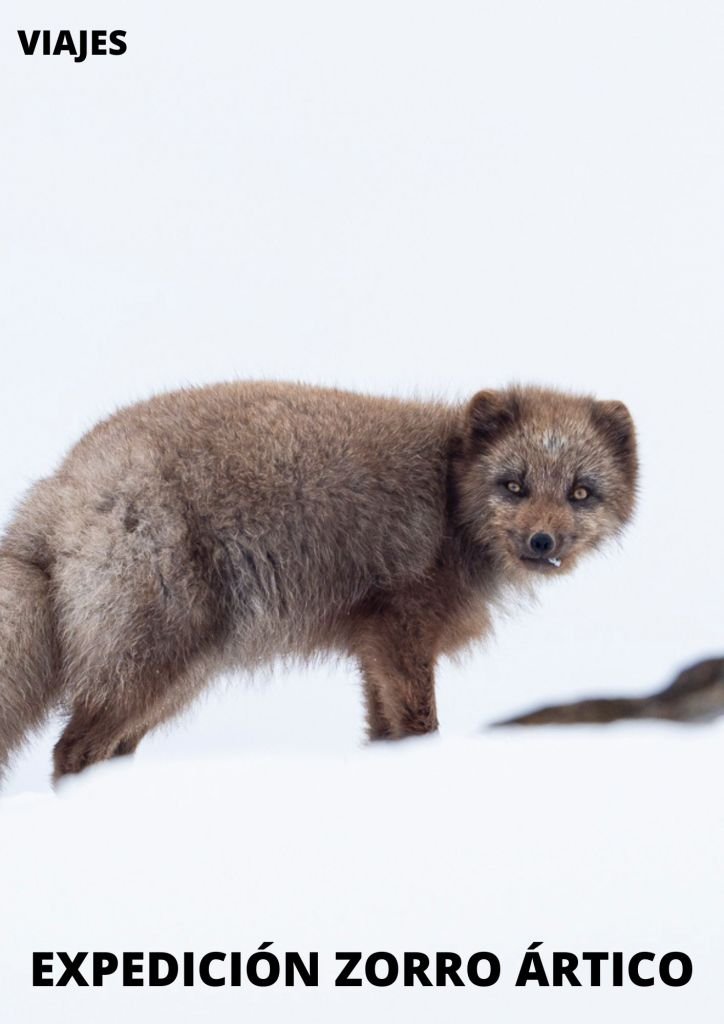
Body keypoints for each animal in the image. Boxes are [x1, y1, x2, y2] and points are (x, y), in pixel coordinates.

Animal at [0, 381, 637, 784]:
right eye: (514, 486)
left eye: (580, 492)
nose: (542, 542)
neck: (450, 502)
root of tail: (62, 487)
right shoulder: (401, 627)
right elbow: (420, 724)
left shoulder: (374, 645)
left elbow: (384, 732)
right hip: (153, 660)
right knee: (73, 749)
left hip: (173, 677)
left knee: (104, 748)